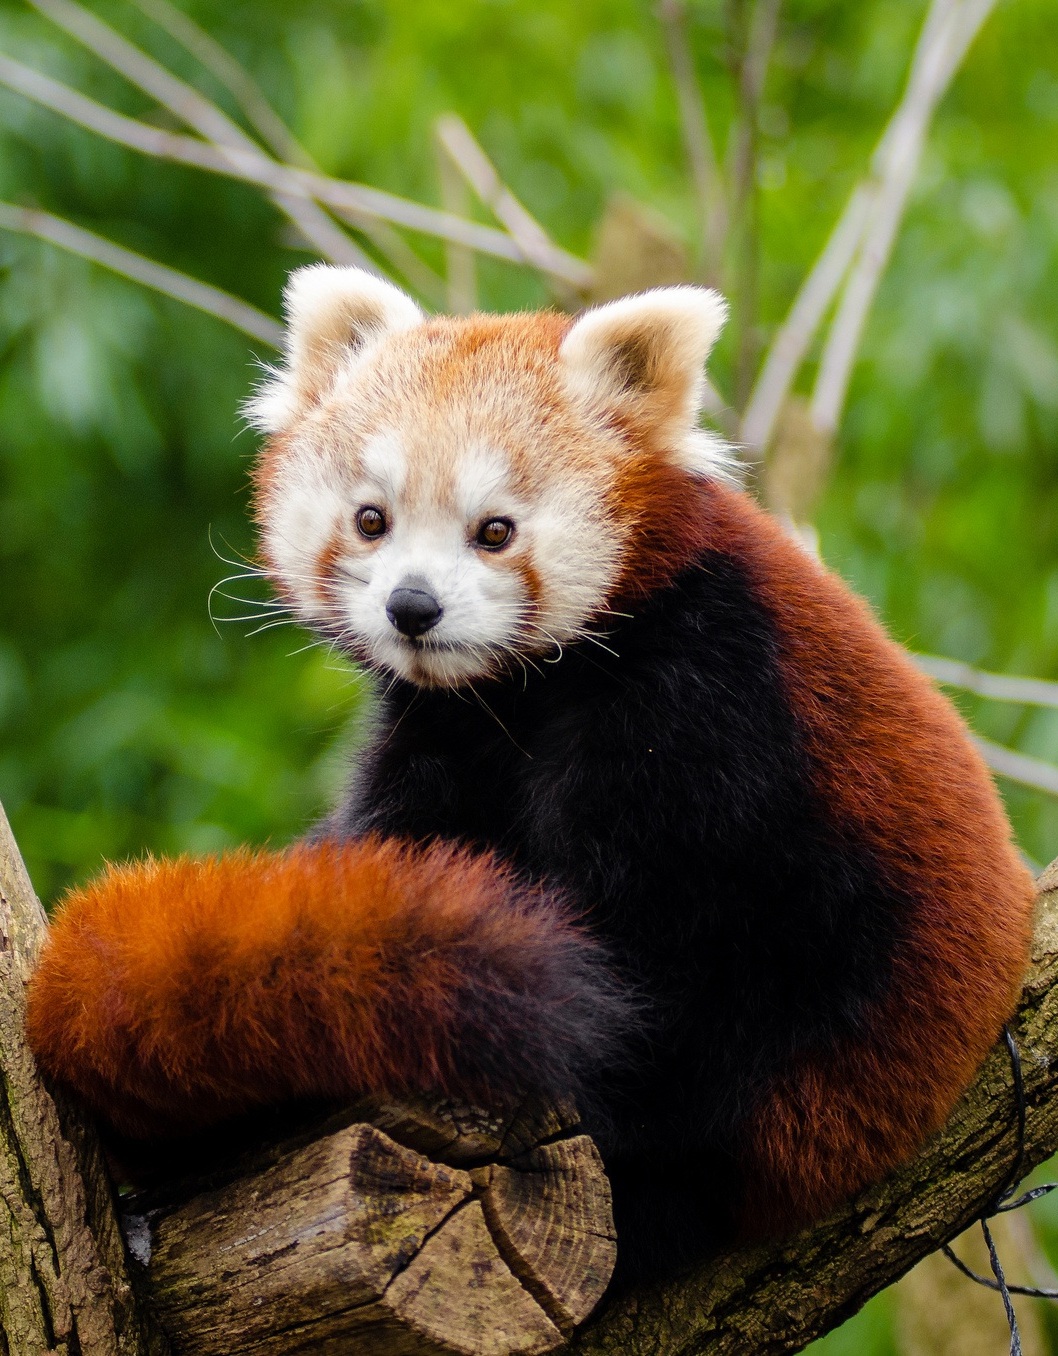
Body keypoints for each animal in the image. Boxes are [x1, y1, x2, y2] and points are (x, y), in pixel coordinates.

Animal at [24, 269, 1030, 1285]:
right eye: (372, 520)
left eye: (495, 531)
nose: (413, 606)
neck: (526, 692)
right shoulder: (443, 731)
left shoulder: (710, 700)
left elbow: (640, 939)